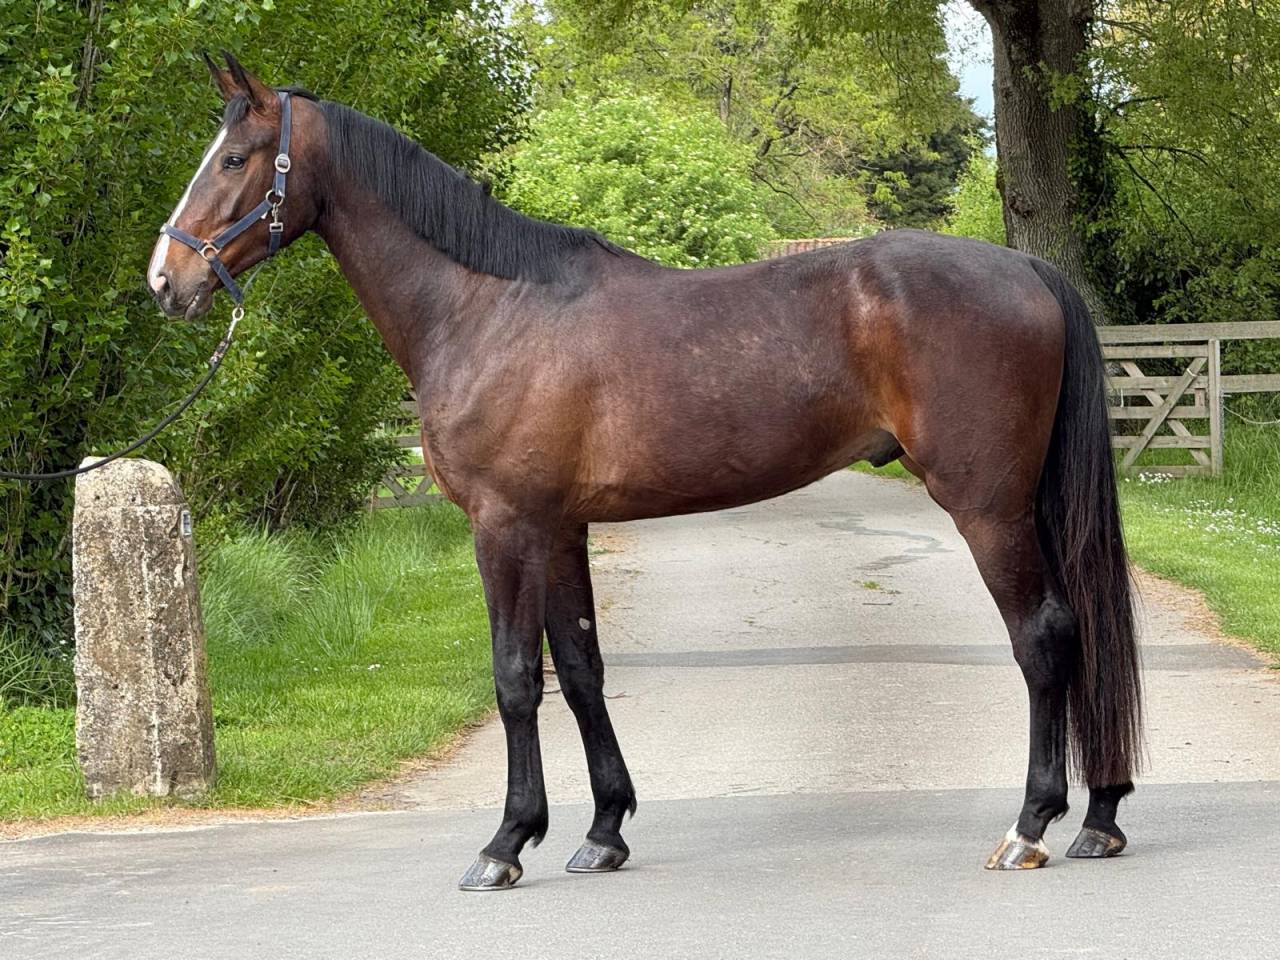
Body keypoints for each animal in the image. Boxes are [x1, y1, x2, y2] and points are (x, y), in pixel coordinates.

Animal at [148, 54, 1142, 891]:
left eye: (234, 158)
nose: (165, 282)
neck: (485, 308)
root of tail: (1028, 269)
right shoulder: (559, 526)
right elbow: (582, 668)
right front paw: (601, 831)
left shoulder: (504, 523)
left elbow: (516, 676)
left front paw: (505, 844)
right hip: (1030, 505)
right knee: (1087, 627)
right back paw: (1100, 818)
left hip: (988, 506)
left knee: (1044, 636)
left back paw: (1031, 826)